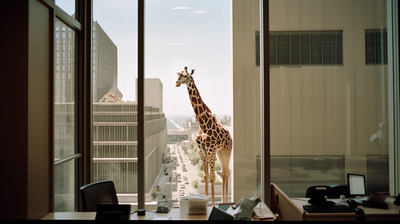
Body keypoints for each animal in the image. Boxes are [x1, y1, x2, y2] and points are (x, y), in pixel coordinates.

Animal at [174, 65, 231, 206]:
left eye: (185, 75)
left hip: (227, 150)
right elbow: (205, 176)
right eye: (179, 74)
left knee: (226, 172)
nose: (176, 83)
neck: (203, 124)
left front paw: (213, 205)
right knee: (224, 172)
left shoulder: (210, 150)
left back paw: (225, 202)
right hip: (220, 152)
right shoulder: (202, 150)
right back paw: (224, 201)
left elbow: (212, 177)